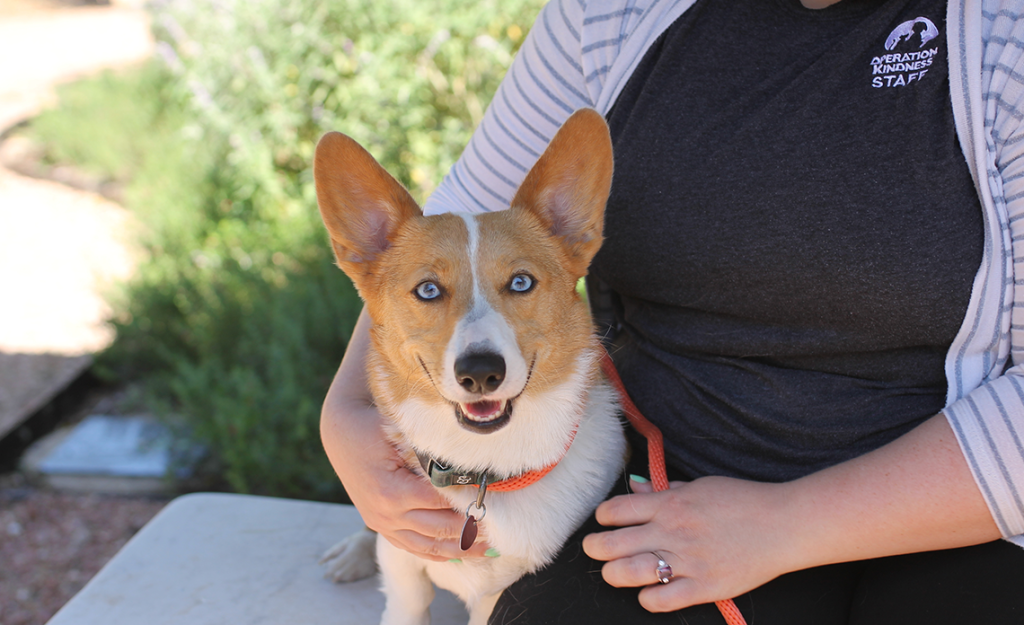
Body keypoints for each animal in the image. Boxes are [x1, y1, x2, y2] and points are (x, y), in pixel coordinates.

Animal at [315, 109, 626, 622]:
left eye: (521, 282)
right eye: (427, 290)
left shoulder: (498, 598)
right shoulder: (402, 561)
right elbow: (407, 602)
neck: (484, 471)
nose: (480, 372)